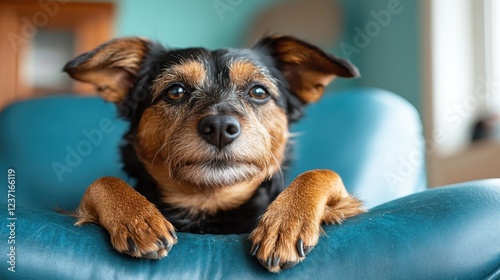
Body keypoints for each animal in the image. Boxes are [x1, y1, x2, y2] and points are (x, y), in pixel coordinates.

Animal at [64, 35, 366, 274]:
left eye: (259, 91)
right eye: (175, 91)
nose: (220, 127)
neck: (208, 202)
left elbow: (323, 173)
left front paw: (285, 225)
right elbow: (101, 181)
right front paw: (137, 219)